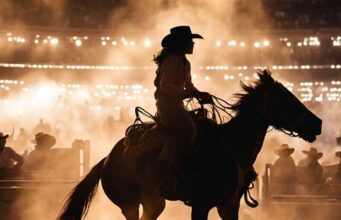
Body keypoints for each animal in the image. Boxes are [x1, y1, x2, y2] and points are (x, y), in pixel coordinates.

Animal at [58, 69, 322, 219]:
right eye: (285, 98)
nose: (317, 123)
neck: (230, 149)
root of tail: (108, 159)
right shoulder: (201, 205)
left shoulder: (229, 206)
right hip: (130, 203)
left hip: (153, 203)